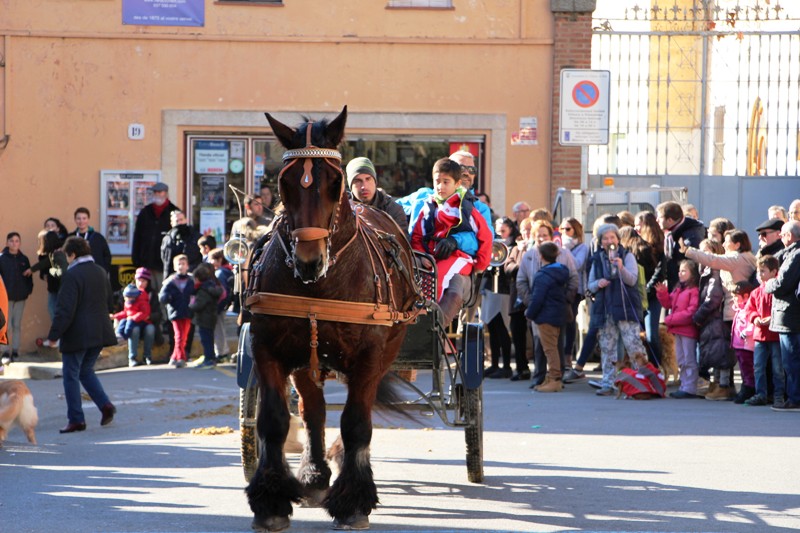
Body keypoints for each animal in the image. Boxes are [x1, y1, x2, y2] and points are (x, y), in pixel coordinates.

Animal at [244, 106, 422, 528]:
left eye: (335, 180)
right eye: (284, 181)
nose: (309, 261)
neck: (318, 286)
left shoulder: (369, 357)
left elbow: (357, 422)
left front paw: (354, 500)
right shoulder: (266, 348)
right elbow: (274, 420)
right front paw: (271, 500)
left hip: (387, 350)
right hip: (306, 360)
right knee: (313, 410)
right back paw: (314, 473)